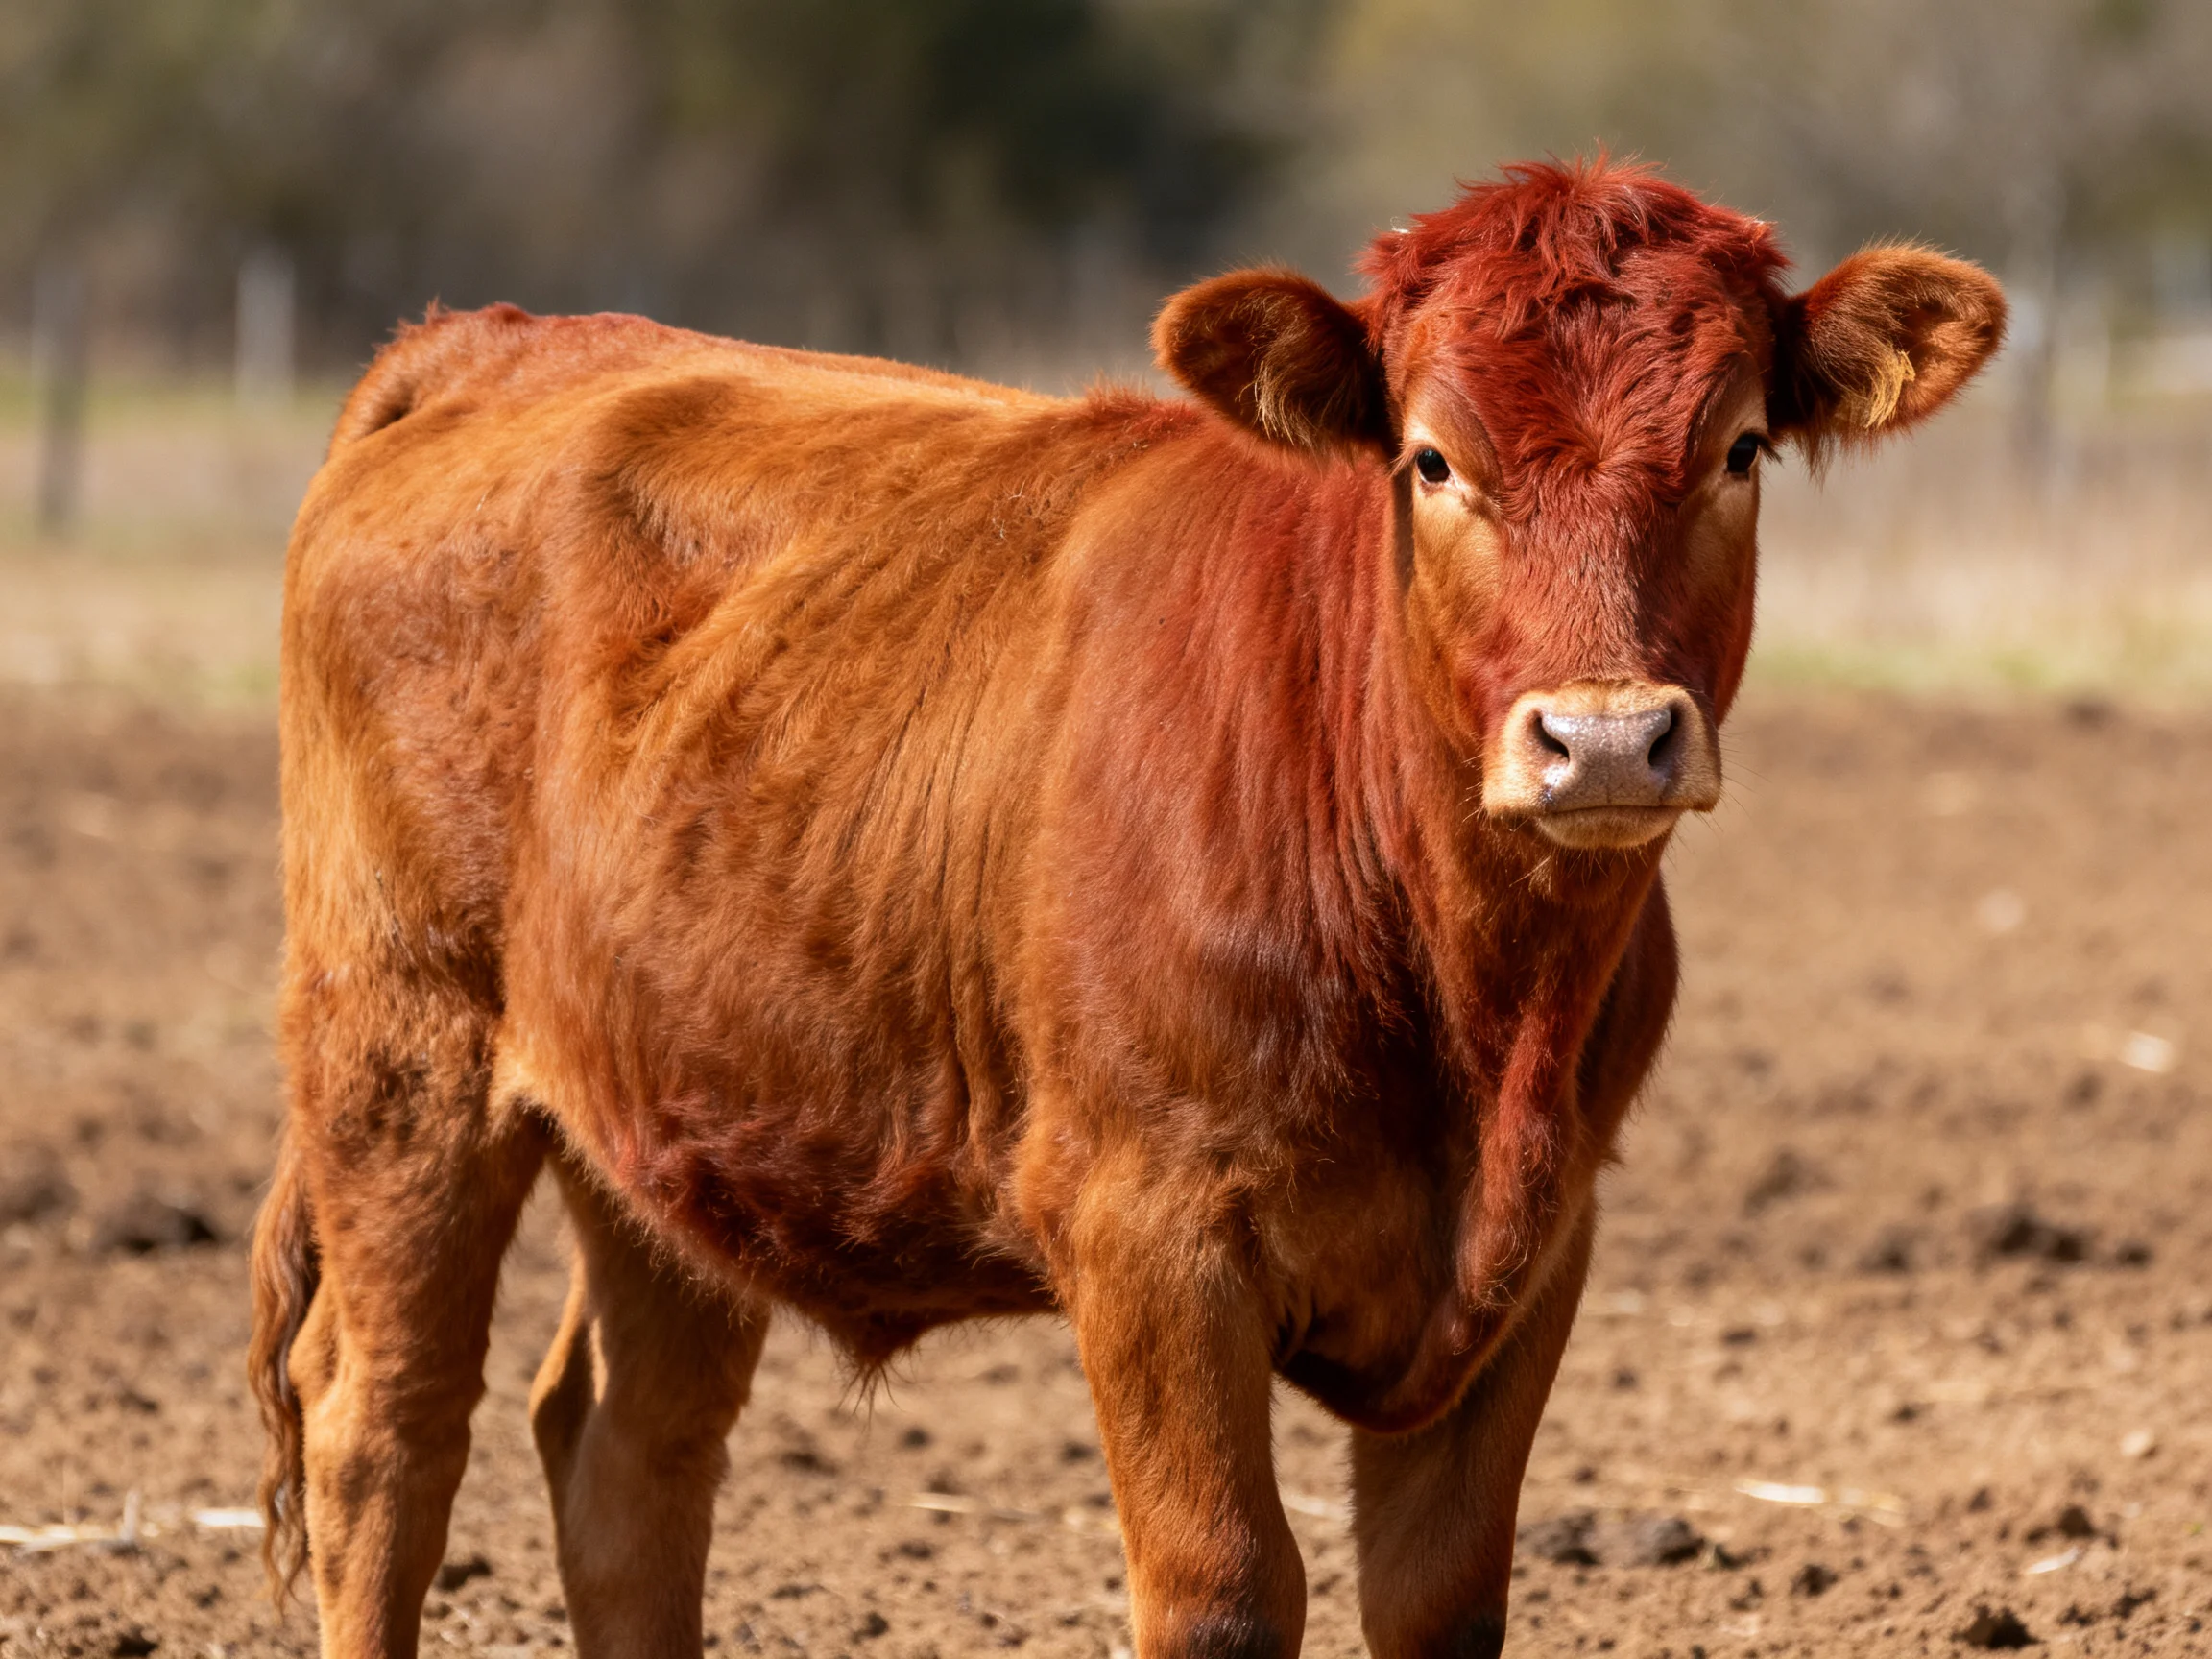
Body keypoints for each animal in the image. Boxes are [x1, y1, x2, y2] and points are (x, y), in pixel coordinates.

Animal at [249, 158, 2003, 1658]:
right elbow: (1223, 1585)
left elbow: (1440, 1598)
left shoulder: (1536, 1249)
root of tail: (498, 341)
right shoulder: (1149, 1228)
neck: (1466, 996)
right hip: (400, 1049)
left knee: (628, 1455)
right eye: (1433, 459)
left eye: (1738, 449)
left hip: (673, 1113)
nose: (1605, 737)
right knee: (383, 1429)